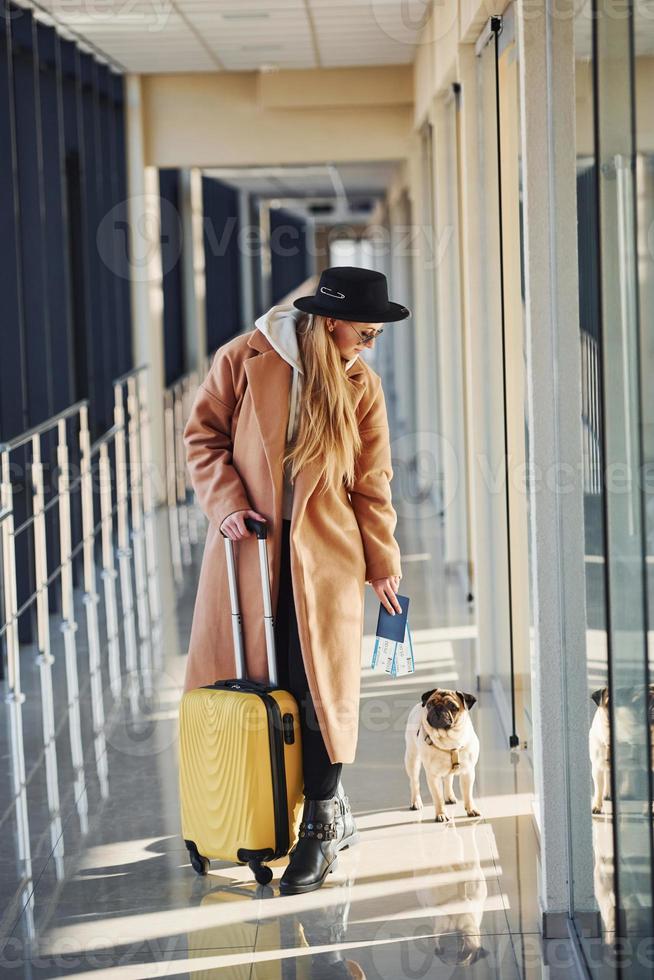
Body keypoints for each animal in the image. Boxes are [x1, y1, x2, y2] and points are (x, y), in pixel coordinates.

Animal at [404, 688, 482, 820]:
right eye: (430, 704)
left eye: (452, 706)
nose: (438, 707)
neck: (449, 740)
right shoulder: (433, 776)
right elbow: (438, 798)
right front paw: (441, 814)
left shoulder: (467, 773)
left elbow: (468, 794)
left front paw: (471, 809)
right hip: (412, 759)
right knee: (414, 782)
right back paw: (416, 802)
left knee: (448, 778)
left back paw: (449, 797)